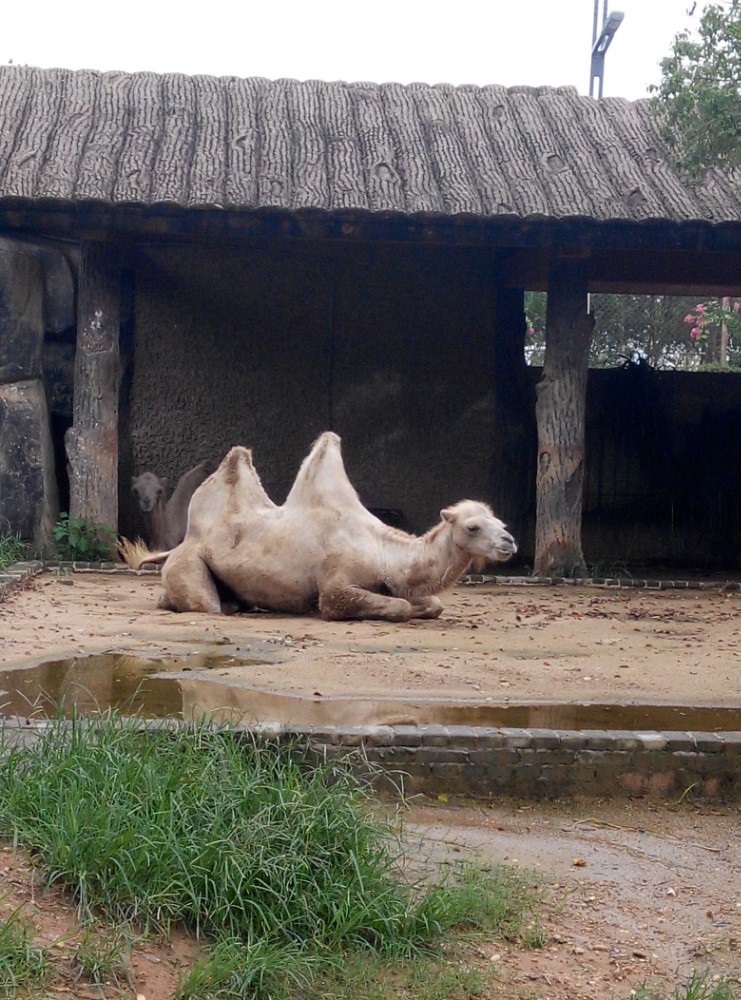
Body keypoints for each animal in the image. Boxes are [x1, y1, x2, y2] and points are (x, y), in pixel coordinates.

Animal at [120, 434, 516, 620]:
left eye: (500, 521)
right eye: (473, 527)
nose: (509, 541)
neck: (383, 551)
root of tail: (179, 545)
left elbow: (431, 603)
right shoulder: (335, 587)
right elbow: (396, 607)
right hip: (188, 566)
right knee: (203, 603)